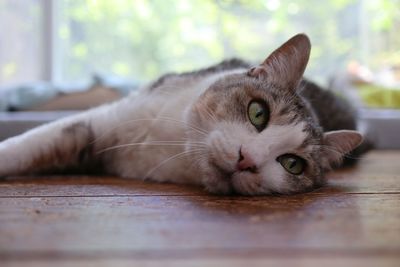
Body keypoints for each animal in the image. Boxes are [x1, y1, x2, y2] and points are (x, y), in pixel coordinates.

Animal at [0, 34, 364, 196]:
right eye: (258, 112)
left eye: (292, 164)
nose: (247, 159)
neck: (174, 147)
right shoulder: (98, 123)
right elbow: (26, 146)